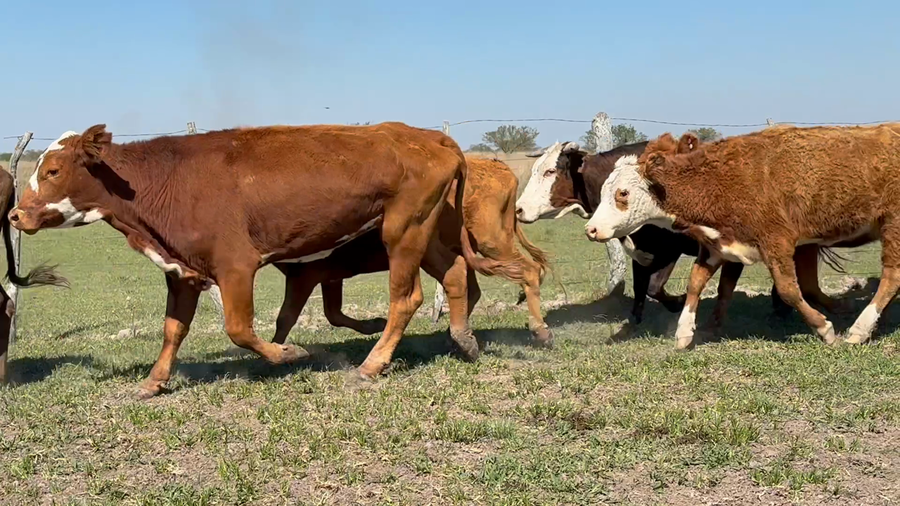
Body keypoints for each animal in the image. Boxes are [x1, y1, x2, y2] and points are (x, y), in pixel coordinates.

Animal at [9, 122, 518, 398]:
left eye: (52, 170)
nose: (16, 214)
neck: (167, 179)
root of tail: (428, 136)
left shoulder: (236, 267)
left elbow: (239, 328)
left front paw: (288, 353)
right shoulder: (183, 273)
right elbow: (173, 330)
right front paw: (154, 381)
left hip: (403, 232)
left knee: (406, 298)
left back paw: (372, 364)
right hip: (426, 231)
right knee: (456, 273)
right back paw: (463, 339)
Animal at [270, 156, 553, 346]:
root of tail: (498, 166)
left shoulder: (304, 276)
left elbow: (287, 318)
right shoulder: (329, 276)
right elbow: (332, 313)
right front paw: (373, 324)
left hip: (492, 242)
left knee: (529, 271)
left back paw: (540, 330)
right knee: (471, 289)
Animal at [515, 139, 846, 327]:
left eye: (550, 171)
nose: (518, 209)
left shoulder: (667, 251)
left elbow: (654, 288)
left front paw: (677, 304)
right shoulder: (643, 251)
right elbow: (641, 287)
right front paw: (637, 318)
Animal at [585, 124, 898, 349]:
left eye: (622, 193)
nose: (591, 229)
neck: (722, 180)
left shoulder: (778, 243)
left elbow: (788, 289)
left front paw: (825, 329)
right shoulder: (718, 247)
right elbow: (696, 283)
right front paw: (685, 332)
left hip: (892, 227)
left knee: (891, 277)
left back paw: (859, 329)